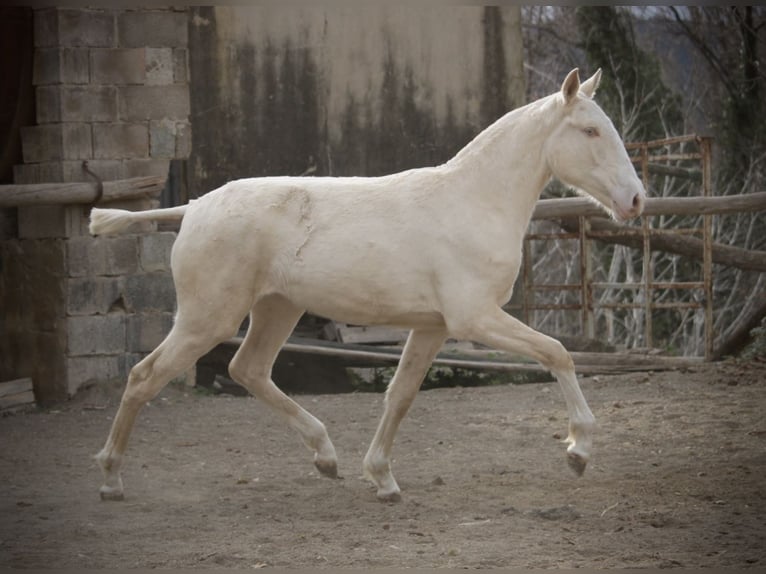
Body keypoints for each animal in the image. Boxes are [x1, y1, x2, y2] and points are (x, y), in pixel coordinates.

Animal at [87, 70, 644, 504]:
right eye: (590, 130)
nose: (635, 200)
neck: (472, 202)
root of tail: (193, 207)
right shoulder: (475, 318)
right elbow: (558, 353)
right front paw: (578, 450)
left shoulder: (433, 327)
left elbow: (400, 395)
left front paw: (382, 479)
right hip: (209, 317)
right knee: (144, 377)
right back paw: (110, 480)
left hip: (277, 309)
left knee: (248, 370)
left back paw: (326, 457)